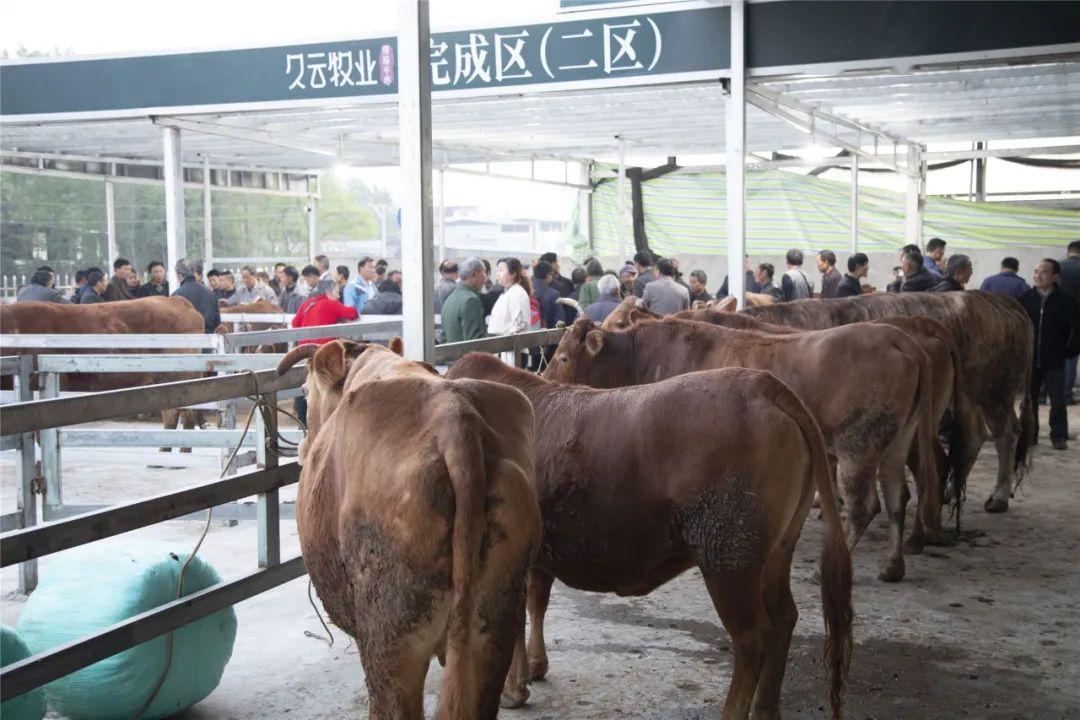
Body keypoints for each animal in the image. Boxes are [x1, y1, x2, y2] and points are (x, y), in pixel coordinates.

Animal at [447, 354, 851, 720]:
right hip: (775, 552)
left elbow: (513, 619)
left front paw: (513, 690)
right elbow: (536, 603)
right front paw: (532, 669)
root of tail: (762, 384)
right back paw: (766, 709)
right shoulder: (537, 556)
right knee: (784, 617)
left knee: (752, 638)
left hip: (729, 557)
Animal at [743, 289, 1036, 515]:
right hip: (967, 398)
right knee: (974, 437)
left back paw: (998, 495)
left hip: (997, 391)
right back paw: (950, 492)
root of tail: (996, 298)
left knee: (1007, 434)